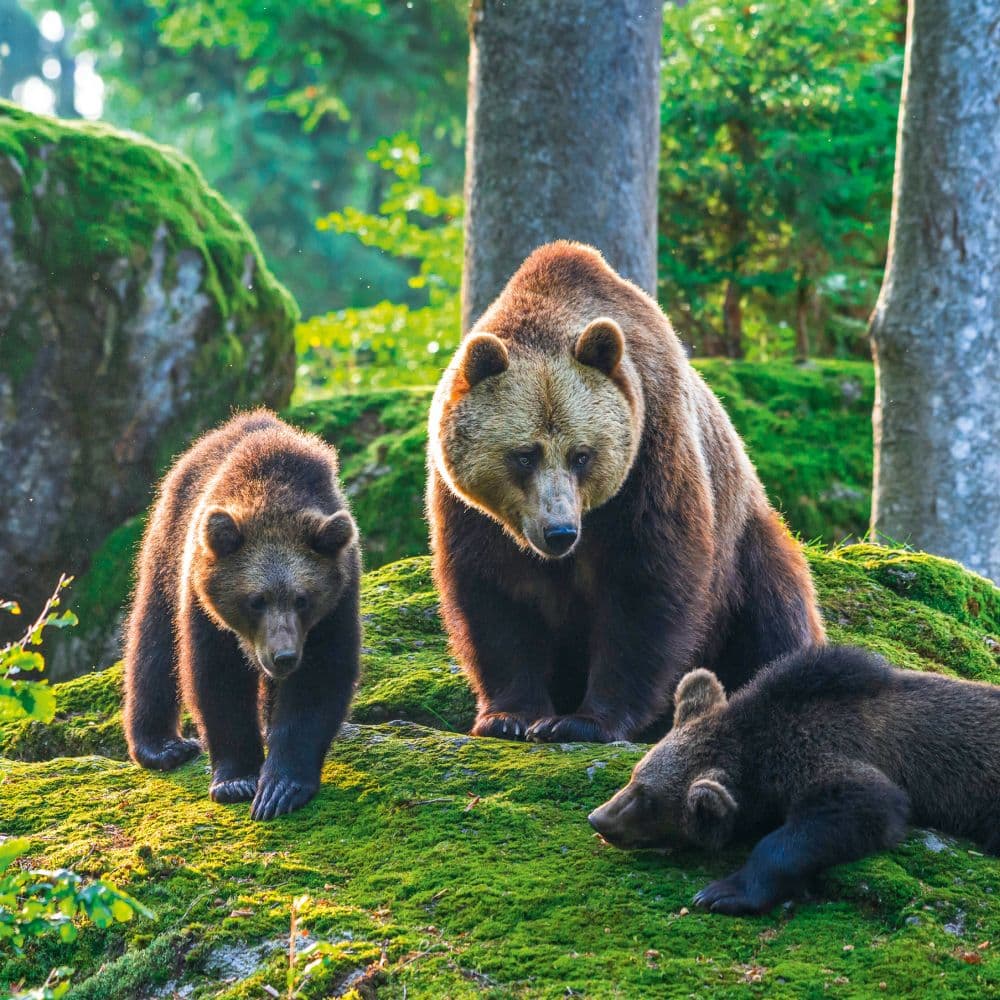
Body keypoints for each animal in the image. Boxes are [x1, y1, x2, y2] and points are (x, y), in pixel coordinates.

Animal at [123, 410, 361, 821]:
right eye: (256, 600)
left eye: (302, 599)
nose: (283, 657)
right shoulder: (205, 605)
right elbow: (218, 678)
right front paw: (237, 780)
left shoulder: (336, 602)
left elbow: (319, 678)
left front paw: (281, 788)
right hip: (168, 543)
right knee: (154, 640)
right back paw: (163, 746)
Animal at [427, 241, 824, 744]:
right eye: (524, 455)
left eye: (581, 455)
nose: (560, 532)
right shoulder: (470, 510)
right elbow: (495, 594)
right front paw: (509, 716)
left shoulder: (650, 457)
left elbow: (644, 587)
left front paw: (583, 720)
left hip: (745, 546)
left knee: (775, 612)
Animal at [588, 645, 1000, 914]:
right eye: (635, 774)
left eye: (646, 799)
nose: (598, 818)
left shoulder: (829, 756)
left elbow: (866, 804)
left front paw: (724, 892)